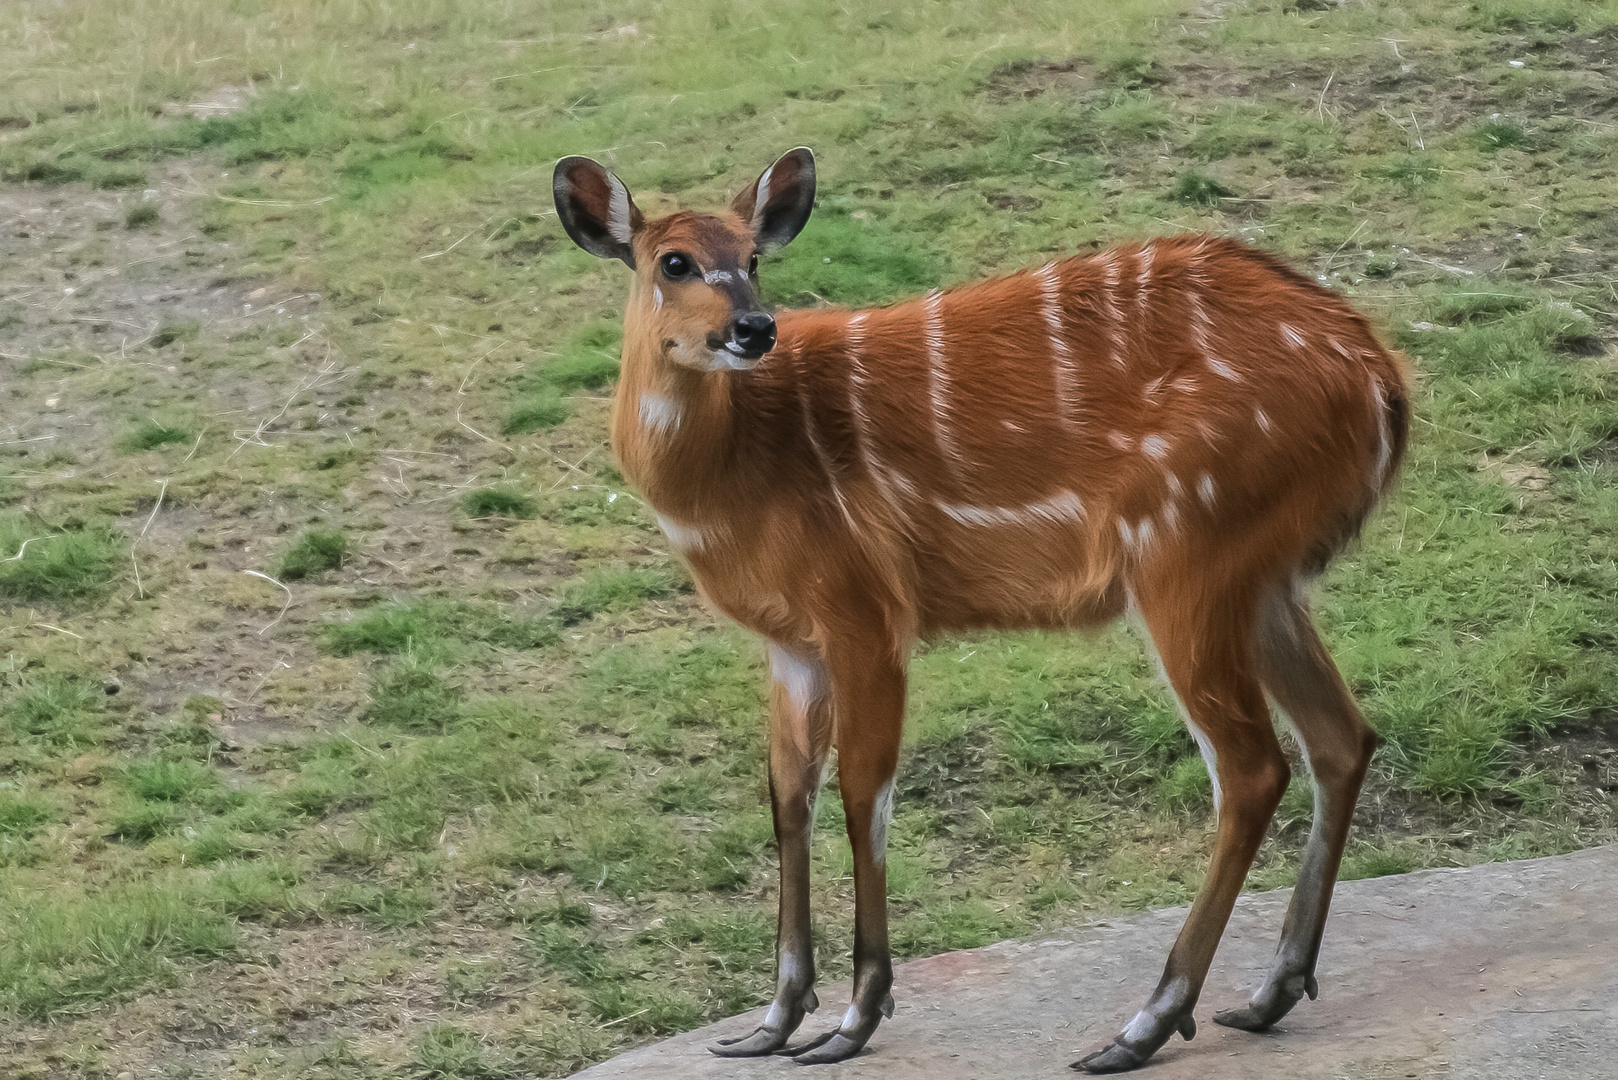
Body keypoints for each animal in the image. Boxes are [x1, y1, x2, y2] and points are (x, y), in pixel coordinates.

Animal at [553, 145, 1404, 1075]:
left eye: (752, 258)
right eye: (672, 262)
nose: (753, 329)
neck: (733, 477)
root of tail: (1380, 380)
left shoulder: (865, 611)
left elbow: (866, 792)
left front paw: (852, 1022)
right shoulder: (791, 643)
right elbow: (788, 798)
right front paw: (770, 1023)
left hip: (1186, 556)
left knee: (1253, 768)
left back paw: (1143, 1024)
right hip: (1263, 580)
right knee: (1341, 736)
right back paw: (1267, 995)